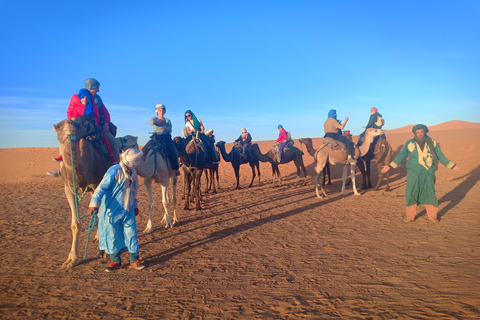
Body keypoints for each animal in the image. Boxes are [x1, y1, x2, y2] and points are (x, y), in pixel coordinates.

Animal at [53, 119, 112, 268]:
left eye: (76, 127)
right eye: (60, 127)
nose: (70, 132)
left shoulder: (98, 184)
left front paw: (102, 252)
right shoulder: (69, 188)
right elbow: (75, 224)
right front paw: (71, 260)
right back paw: (96, 237)